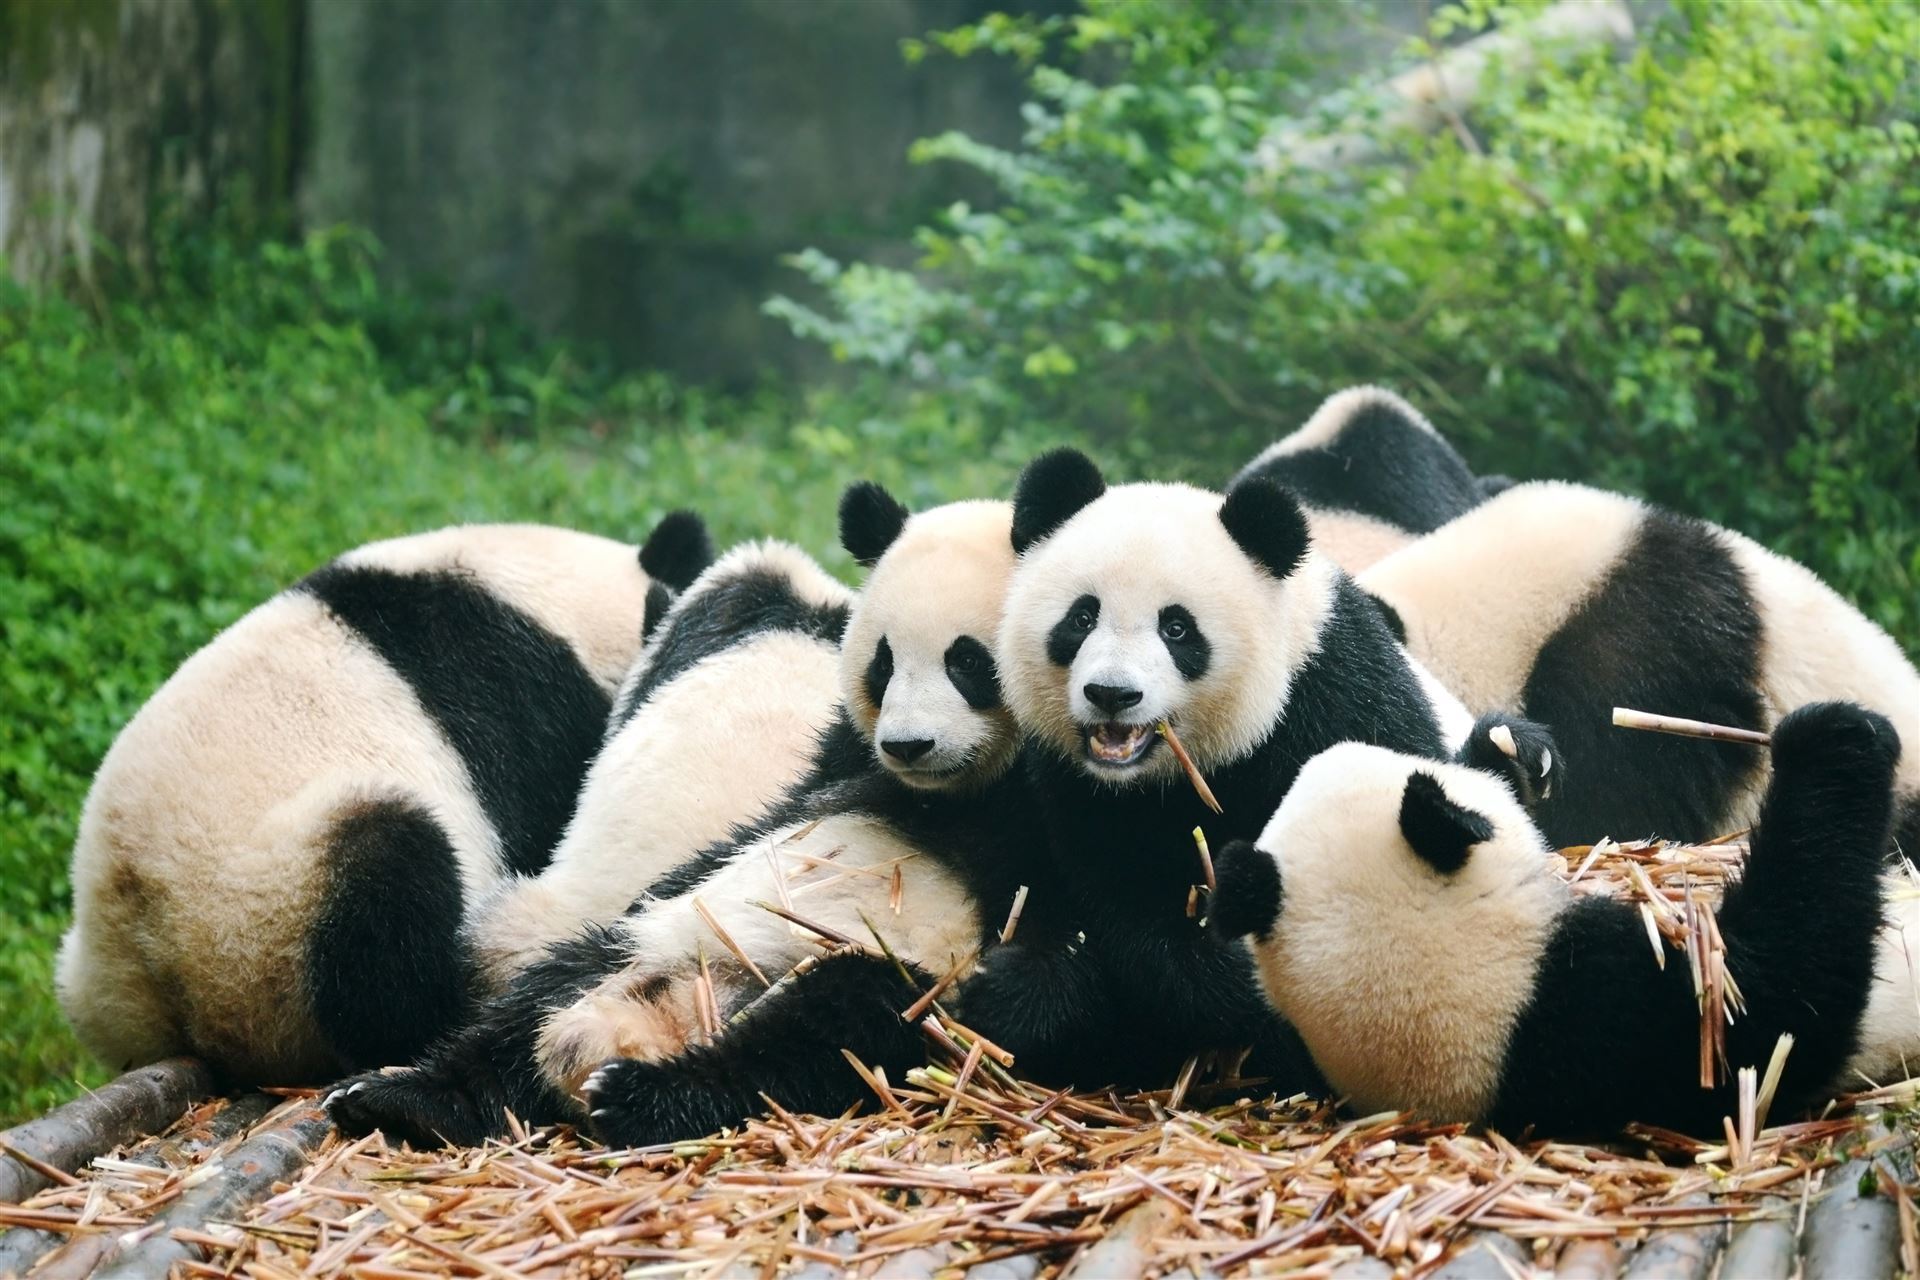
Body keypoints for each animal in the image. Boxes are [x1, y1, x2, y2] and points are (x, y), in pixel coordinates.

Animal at [962, 448, 1526, 1089]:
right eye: (1081, 619)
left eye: (1176, 628)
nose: (1112, 694)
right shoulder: (1072, 787)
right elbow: (1127, 905)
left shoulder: (1332, 696)